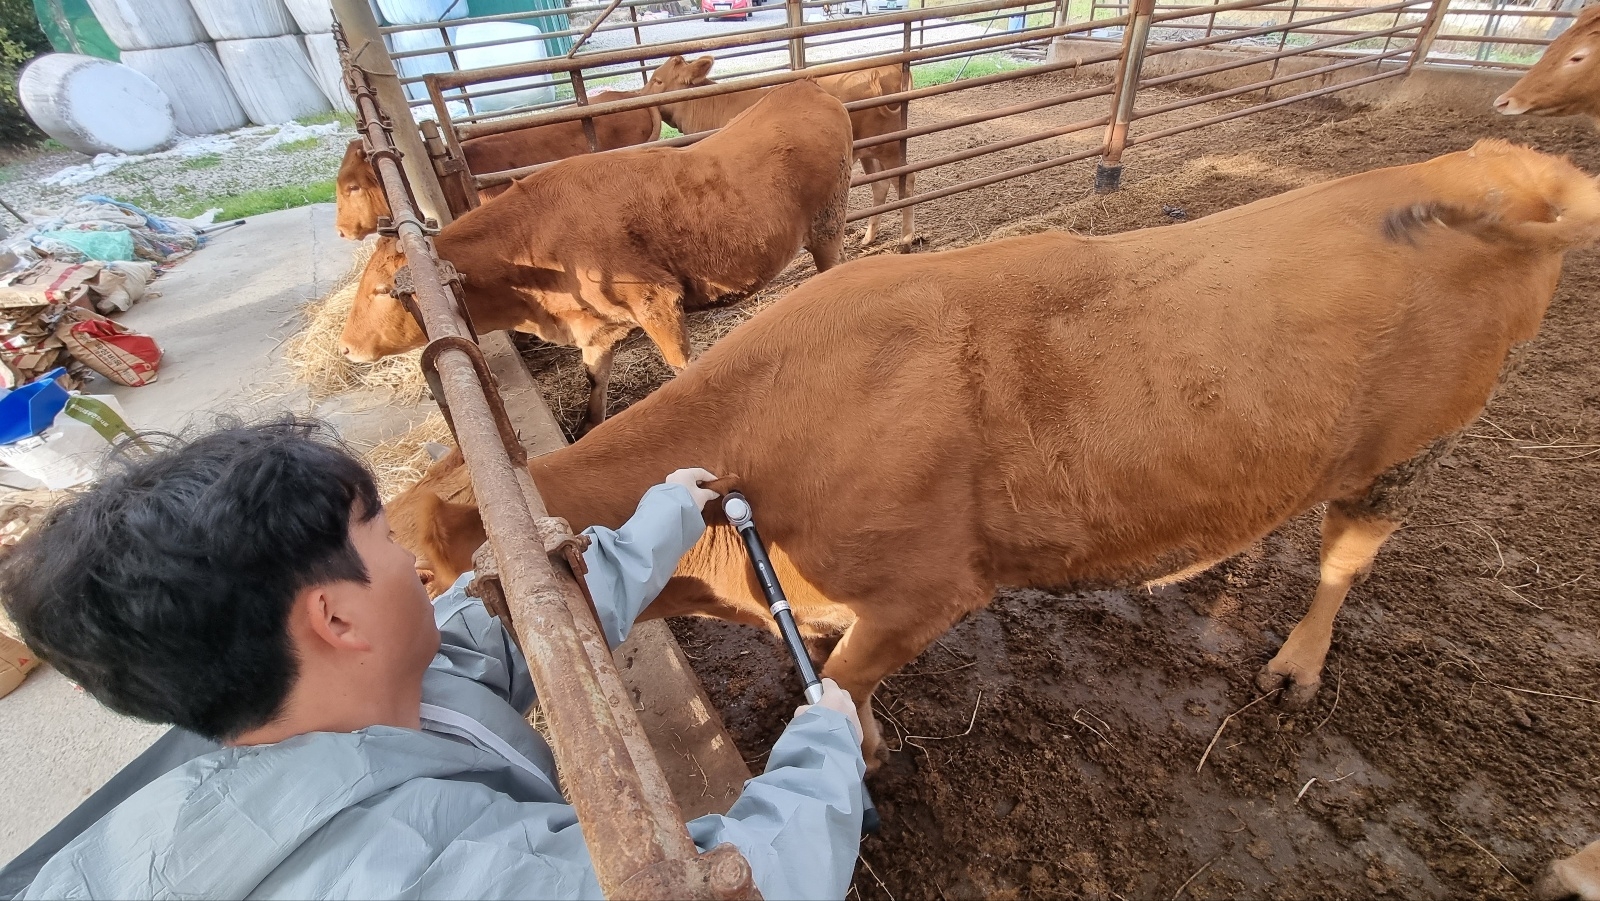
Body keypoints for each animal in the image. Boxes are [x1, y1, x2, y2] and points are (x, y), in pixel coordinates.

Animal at [384, 140, 1600, 768]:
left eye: (428, 573)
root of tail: (1493, 162)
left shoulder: (927, 592)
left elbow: (844, 678)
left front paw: (859, 745)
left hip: (1414, 447)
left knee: (1349, 554)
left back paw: (1296, 665)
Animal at [649, 56, 921, 246]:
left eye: (658, 80)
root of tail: (886, 67)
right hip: (868, 150)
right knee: (881, 185)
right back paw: (869, 236)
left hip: (890, 145)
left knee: (906, 180)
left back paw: (906, 238)